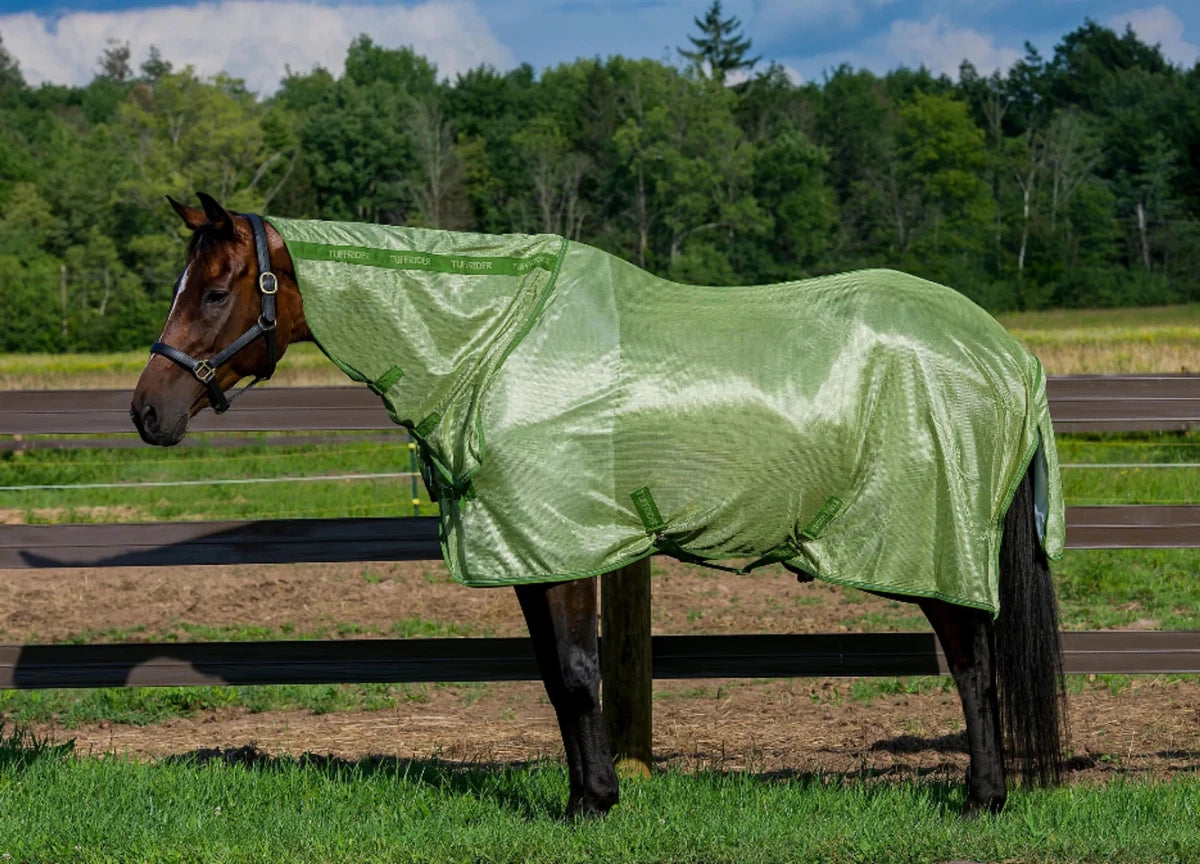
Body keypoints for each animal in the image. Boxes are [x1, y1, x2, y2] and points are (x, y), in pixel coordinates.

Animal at [131, 192, 1067, 818]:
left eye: (213, 291)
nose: (147, 411)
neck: (494, 344)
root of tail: (1007, 353)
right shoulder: (530, 549)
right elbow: (555, 678)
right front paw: (589, 793)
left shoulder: (562, 541)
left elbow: (580, 676)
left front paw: (593, 805)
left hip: (933, 541)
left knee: (973, 662)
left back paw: (983, 798)